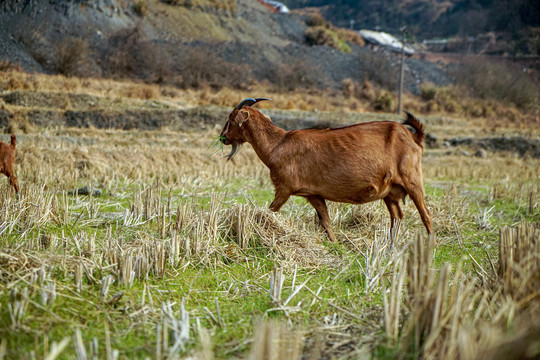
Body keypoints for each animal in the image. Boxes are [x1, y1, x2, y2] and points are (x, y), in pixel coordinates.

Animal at [220, 98, 434, 242]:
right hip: (389, 191)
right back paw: (391, 246)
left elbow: (271, 210)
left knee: (425, 214)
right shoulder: (314, 194)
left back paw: (431, 244)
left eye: (231, 118)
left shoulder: (284, 189)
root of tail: (412, 136)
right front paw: (334, 243)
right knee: (396, 216)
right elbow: (326, 220)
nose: (223, 137)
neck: (277, 144)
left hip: (412, 179)